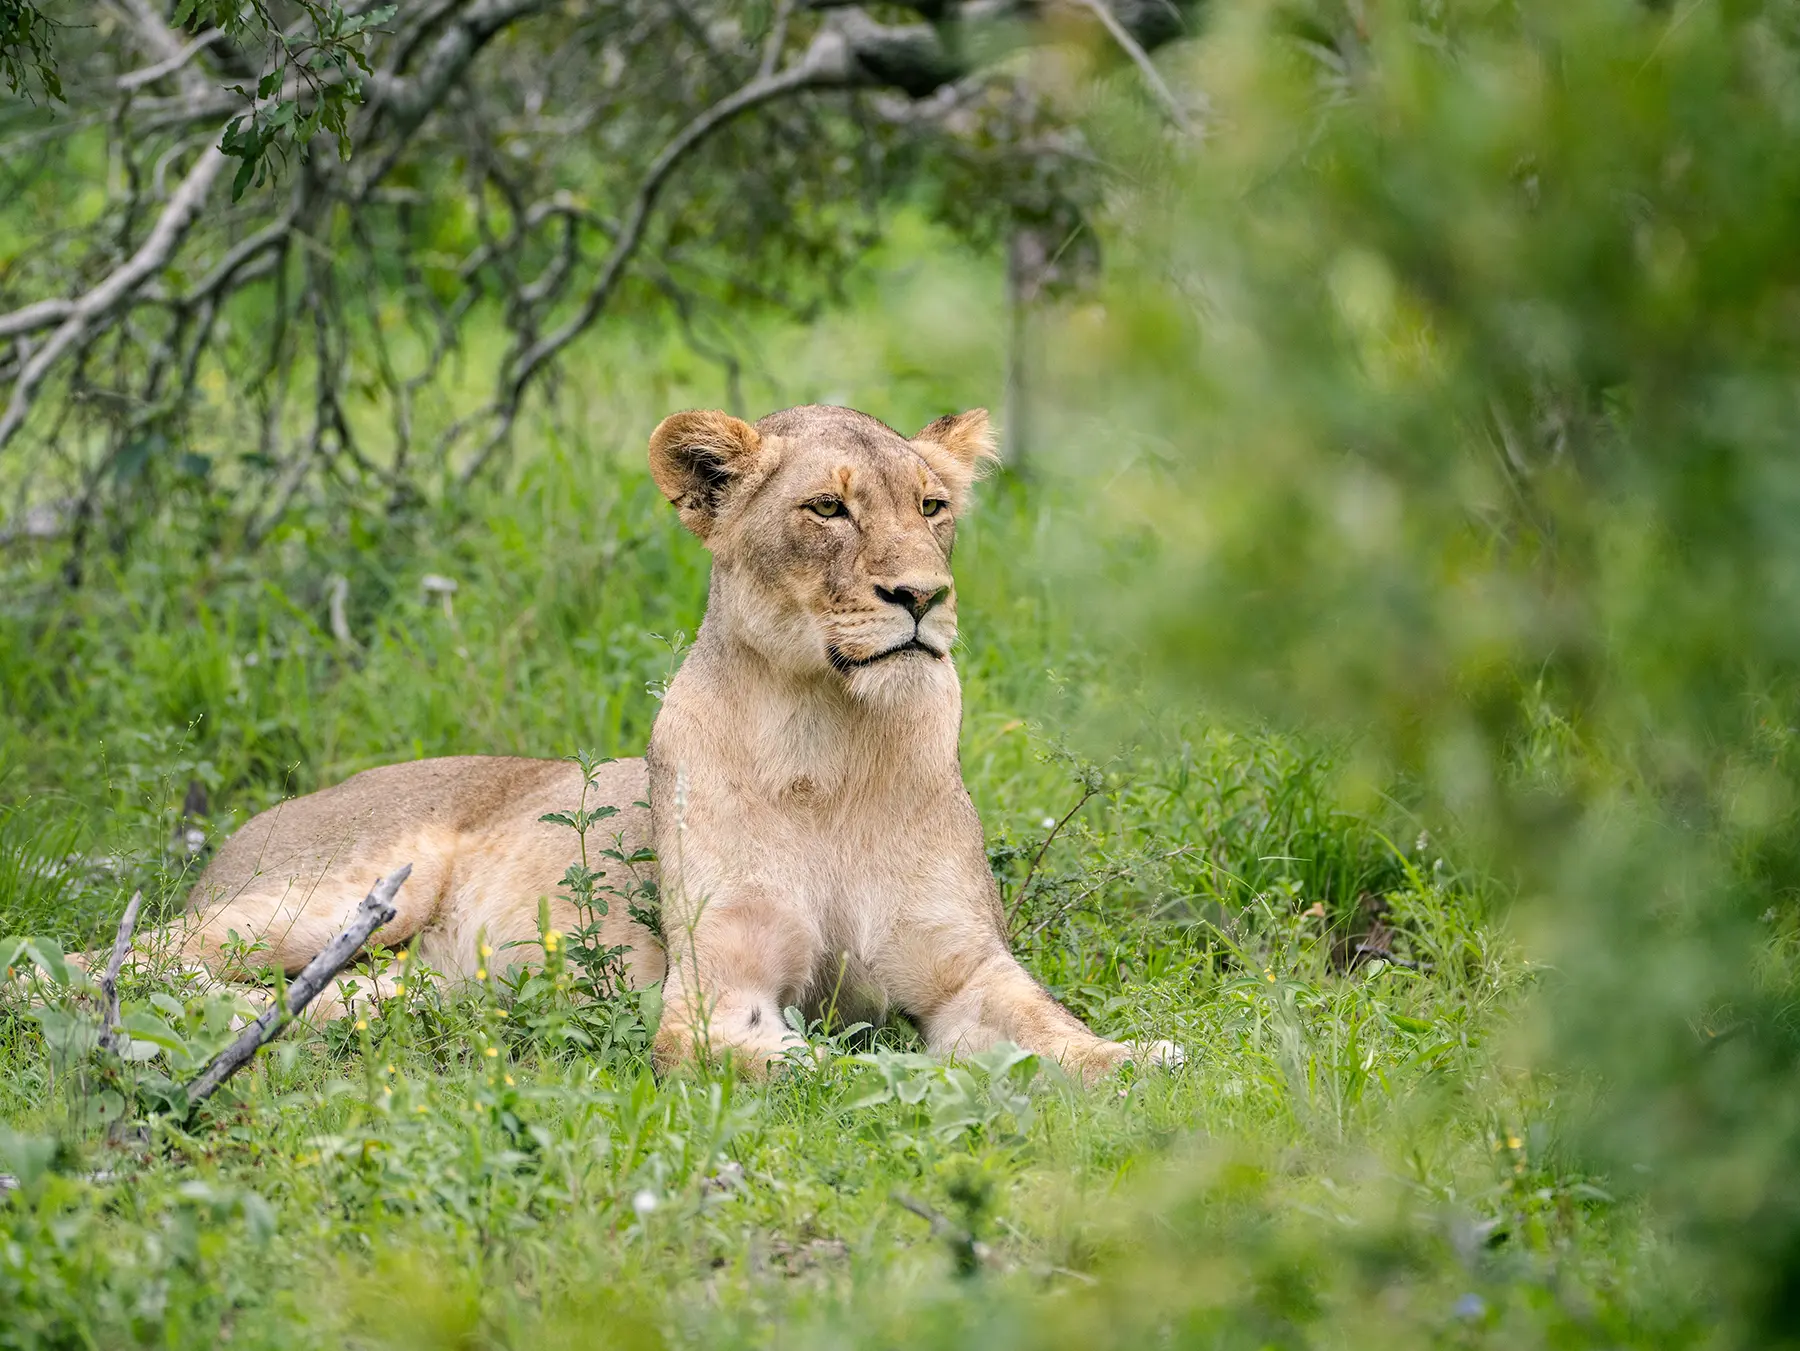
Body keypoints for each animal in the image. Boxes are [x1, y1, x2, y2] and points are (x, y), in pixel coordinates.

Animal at [161, 404, 1181, 1081]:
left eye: (932, 507)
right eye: (827, 510)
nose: (923, 597)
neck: (833, 735)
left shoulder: (966, 968)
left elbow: (1052, 1029)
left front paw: (1138, 1058)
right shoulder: (714, 1000)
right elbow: (830, 1065)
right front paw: (926, 1078)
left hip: (401, 976)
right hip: (329, 898)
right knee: (145, 953)